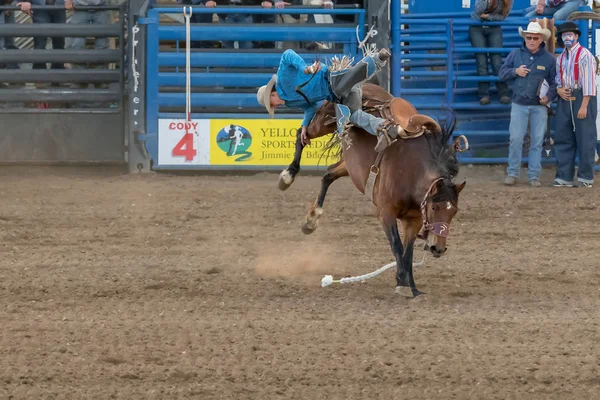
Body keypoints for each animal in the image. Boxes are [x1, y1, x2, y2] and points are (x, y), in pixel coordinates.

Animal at [278, 83, 466, 296]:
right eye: (434, 207)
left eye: (454, 211)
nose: (438, 248)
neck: (411, 172)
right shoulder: (385, 213)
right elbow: (396, 245)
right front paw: (402, 282)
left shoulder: (414, 220)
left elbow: (407, 251)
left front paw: (411, 286)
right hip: (323, 121)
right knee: (301, 135)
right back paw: (288, 176)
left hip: (351, 165)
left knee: (328, 175)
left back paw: (311, 220)